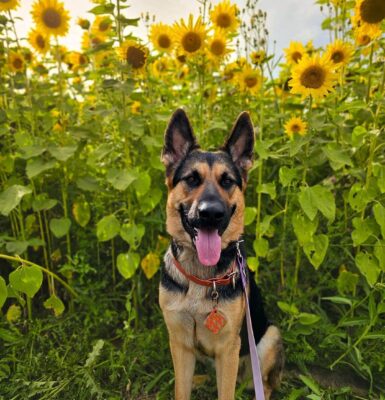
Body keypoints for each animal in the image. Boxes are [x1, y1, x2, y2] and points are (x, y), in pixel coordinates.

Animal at [158, 109, 282, 400]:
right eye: (192, 179)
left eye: (227, 181)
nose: (211, 213)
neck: (201, 276)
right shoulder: (179, 343)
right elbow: (181, 389)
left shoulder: (228, 348)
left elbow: (226, 391)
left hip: (268, 337)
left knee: (265, 384)